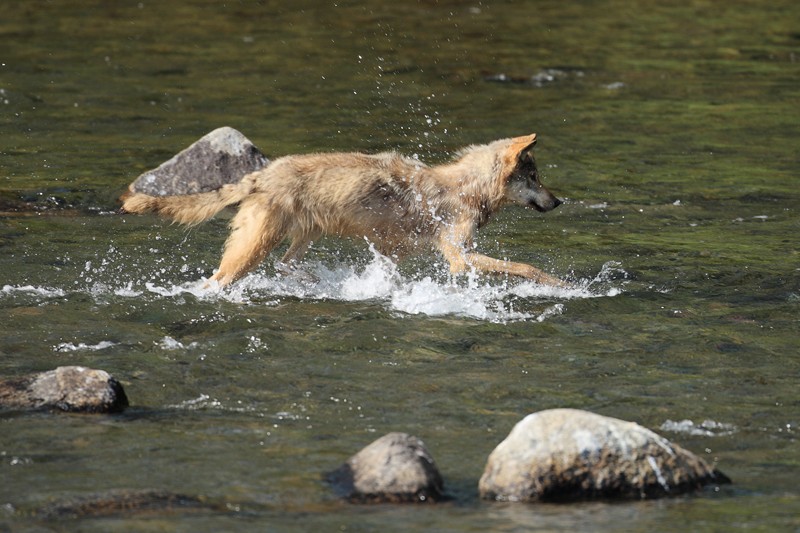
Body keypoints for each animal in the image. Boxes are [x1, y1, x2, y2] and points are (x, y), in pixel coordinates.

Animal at [122, 135, 564, 288]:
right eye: (535, 177)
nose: (559, 202)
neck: (466, 189)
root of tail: (262, 174)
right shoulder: (458, 257)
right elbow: (526, 267)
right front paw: (560, 284)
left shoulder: (393, 252)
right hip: (255, 247)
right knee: (218, 279)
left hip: (303, 236)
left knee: (286, 265)